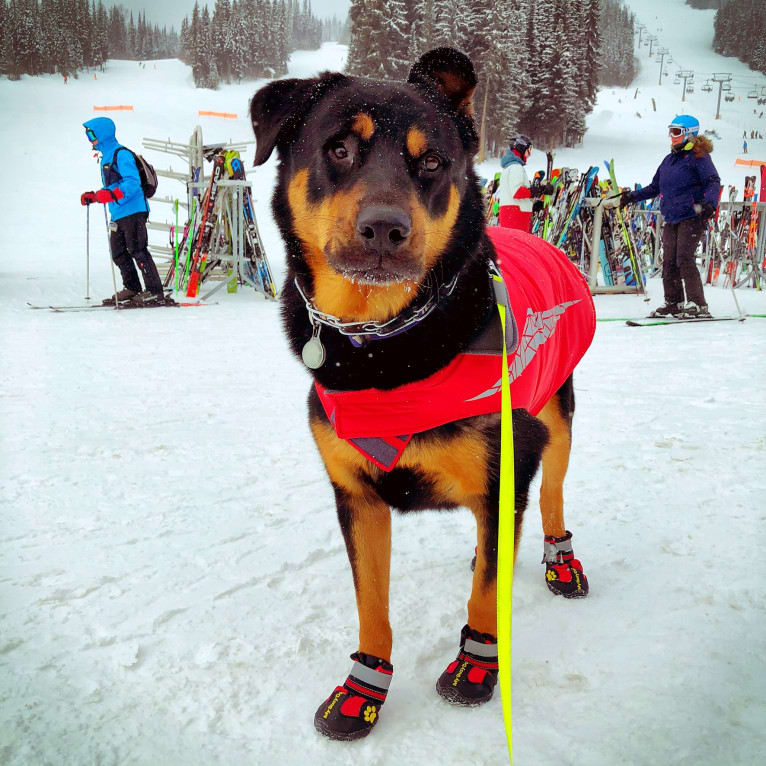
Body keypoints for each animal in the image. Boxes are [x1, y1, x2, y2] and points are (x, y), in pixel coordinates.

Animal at [249, 48, 596, 744]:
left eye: (431, 162)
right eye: (338, 149)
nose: (385, 227)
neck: (384, 344)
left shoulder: (503, 473)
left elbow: (487, 595)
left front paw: (477, 667)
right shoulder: (356, 494)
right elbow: (372, 605)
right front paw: (362, 691)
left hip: (558, 420)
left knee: (551, 494)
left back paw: (560, 562)